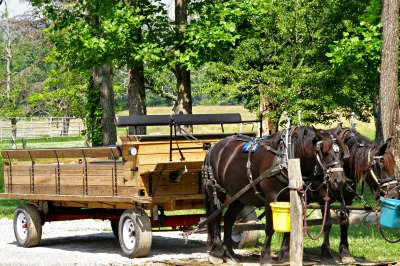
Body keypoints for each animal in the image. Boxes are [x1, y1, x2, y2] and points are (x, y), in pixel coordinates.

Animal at [203, 125, 346, 266]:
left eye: (341, 153)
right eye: (324, 152)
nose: (339, 180)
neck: (287, 157)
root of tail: (213, 148)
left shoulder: (293, 197)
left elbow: (291, 226)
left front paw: (286, 256)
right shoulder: (270, 197)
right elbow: (269, 227)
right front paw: (266, 257)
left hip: (240, 195)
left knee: (228, 219)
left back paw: (229, 253)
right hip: (217, 191)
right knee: (215, 218)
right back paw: (217, 253)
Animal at [304, 127, 398, 264]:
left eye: (394, 166)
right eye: (382, 167)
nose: (395, 195)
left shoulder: (347, 201)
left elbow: (345, 222)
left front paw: (345, 252)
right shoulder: (323, 199)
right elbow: (327, 223)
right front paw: (326, 252)